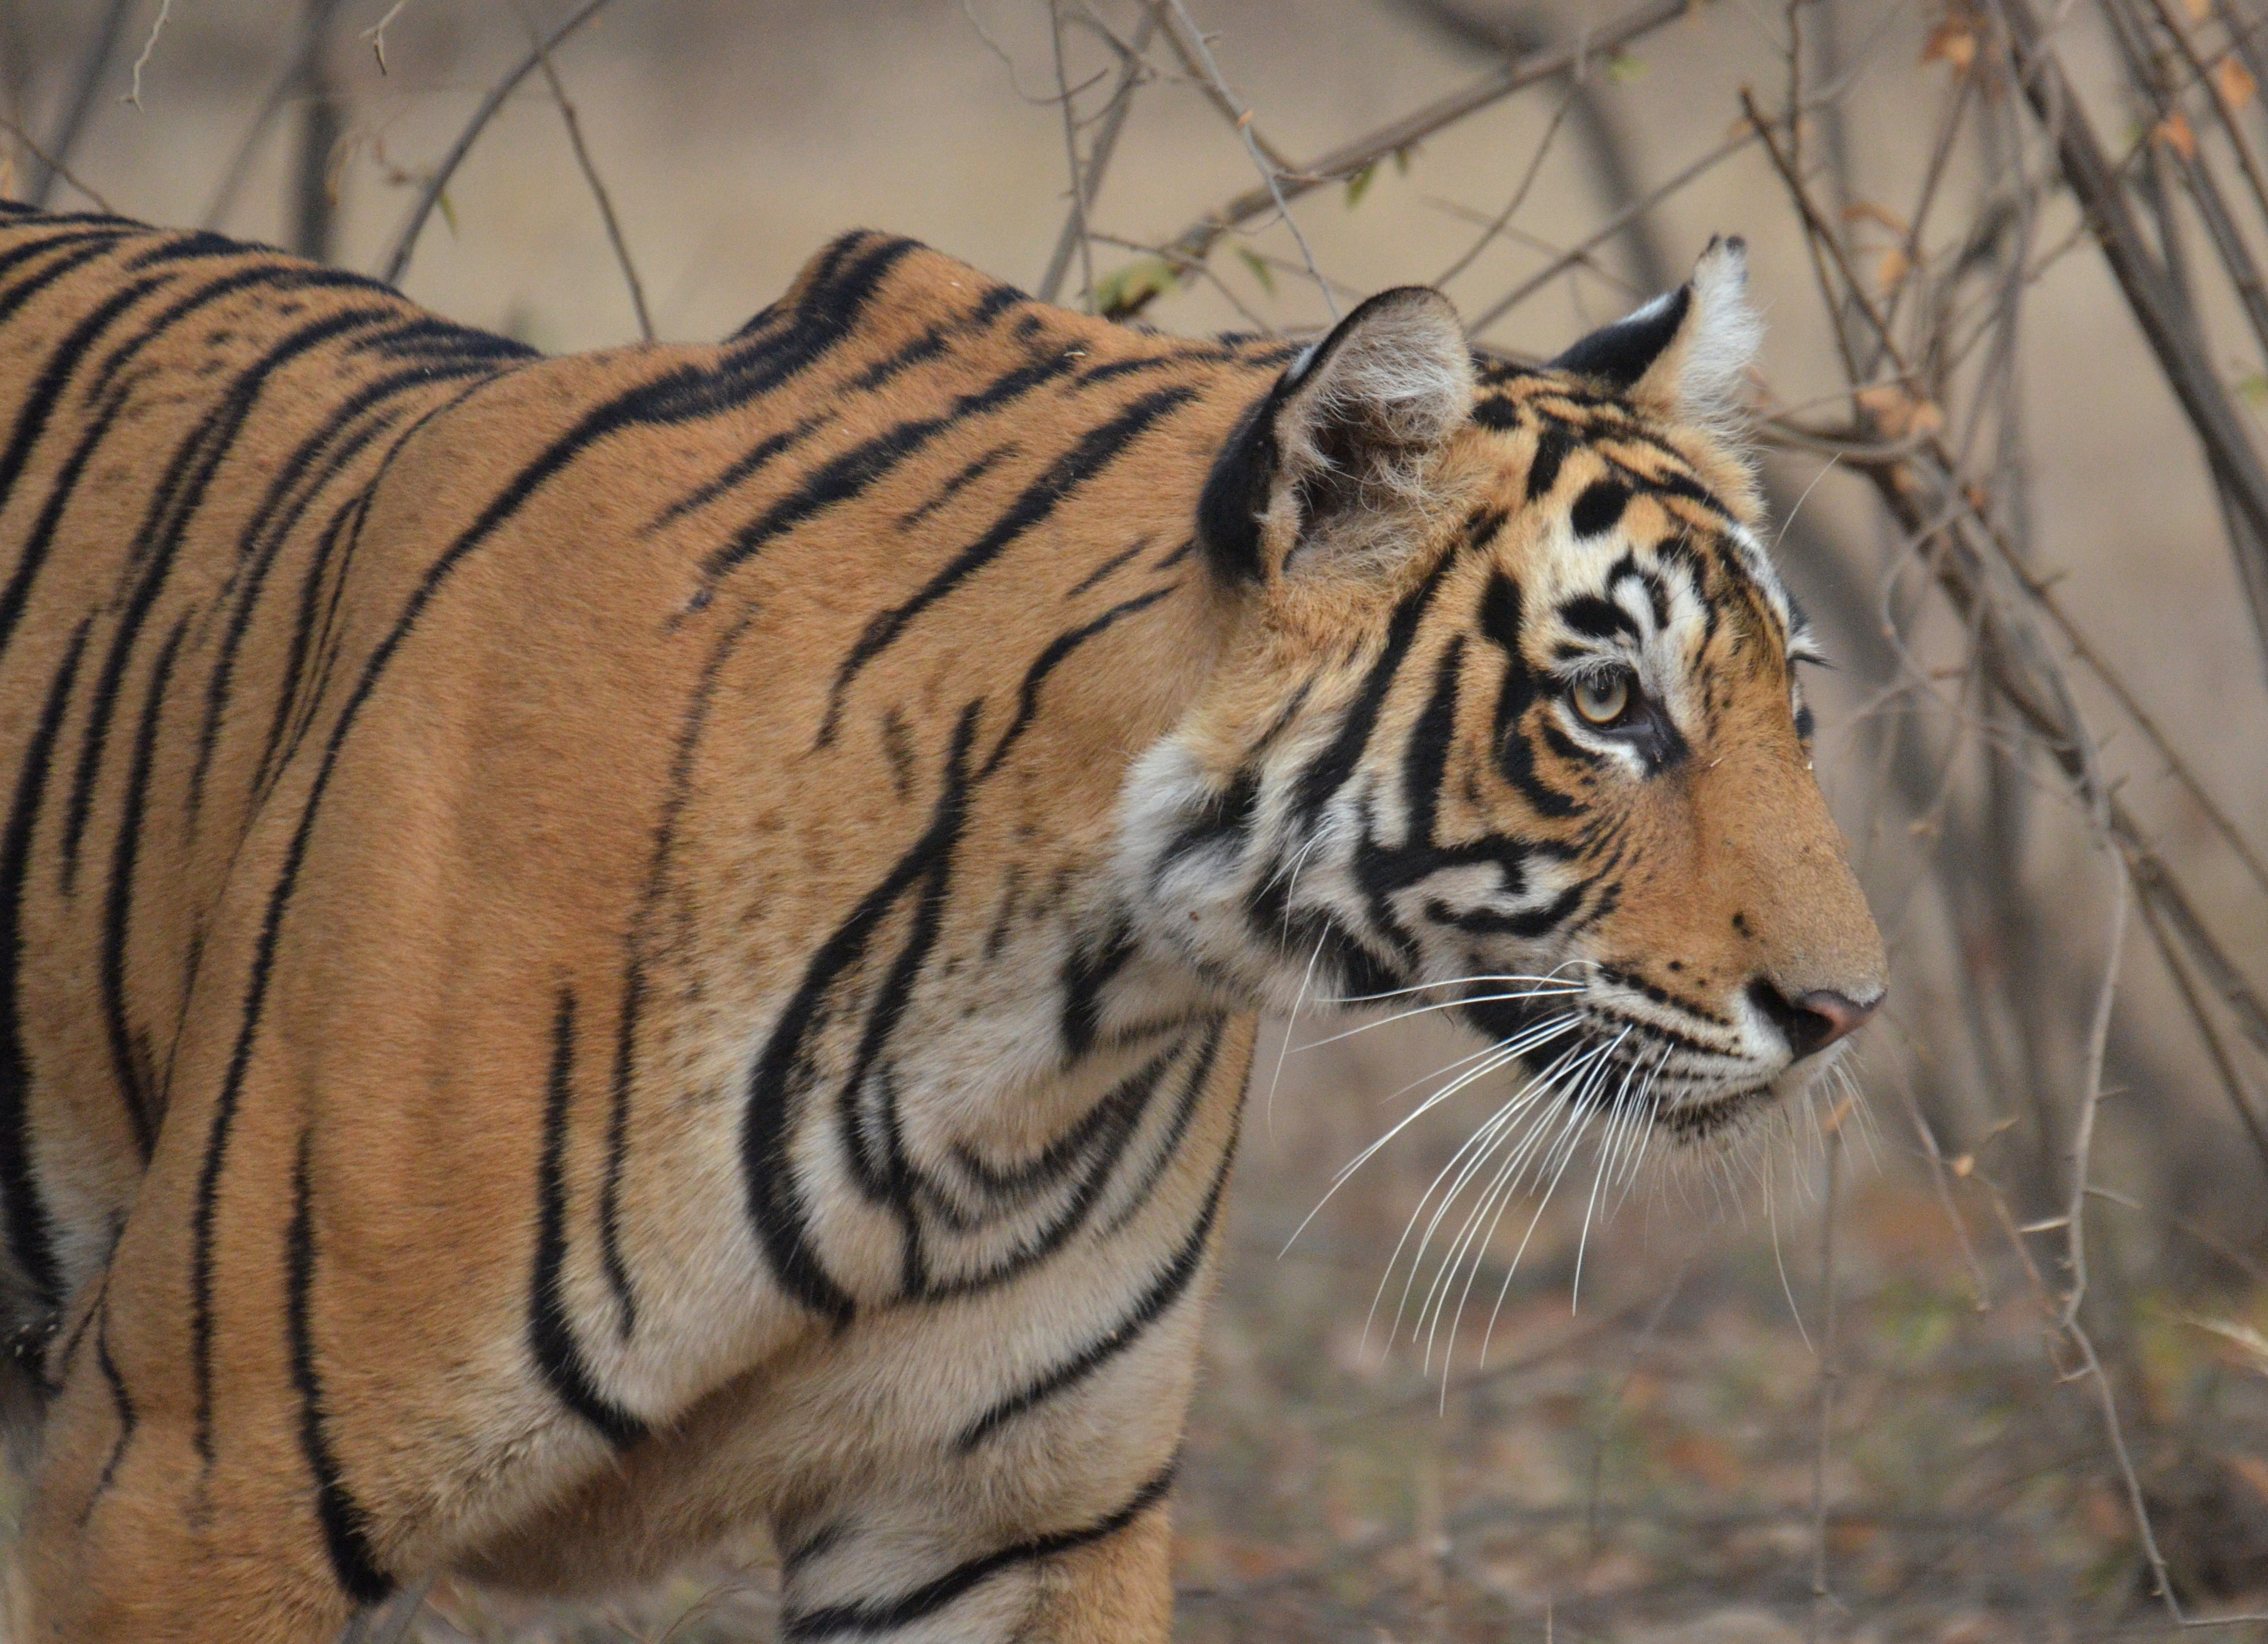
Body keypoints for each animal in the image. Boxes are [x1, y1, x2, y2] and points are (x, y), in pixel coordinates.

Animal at [0, 208, 1887, 1641]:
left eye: (1785, 695)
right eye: (1603, 704)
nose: (1847, 1011)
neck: (1029, 1017)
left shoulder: (1006, 1516)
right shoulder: (196, 1475)